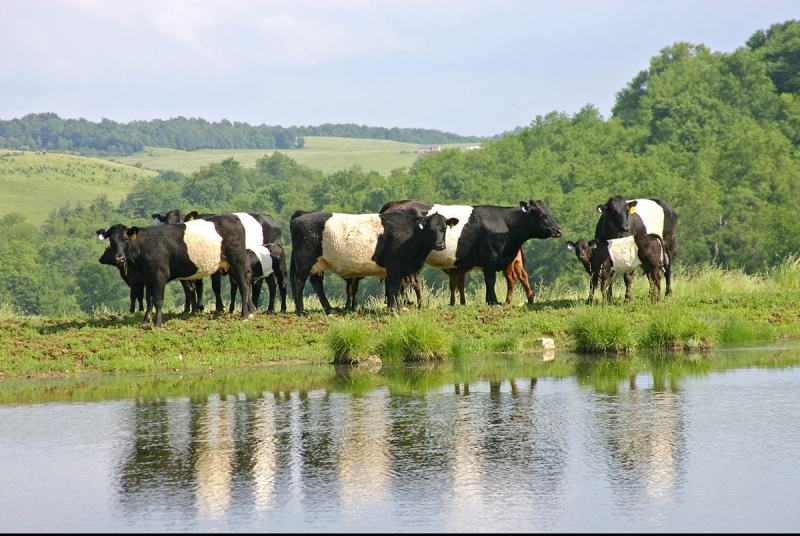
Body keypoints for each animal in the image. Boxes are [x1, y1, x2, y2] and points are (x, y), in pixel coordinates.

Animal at [95, 214, 255, 326]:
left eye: (126, 240)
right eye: (111, 241)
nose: (119, 258)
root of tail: (233, 217)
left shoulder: (159, 274)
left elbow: (158, 300)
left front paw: (157, 323)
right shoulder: (148, 278)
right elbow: (149, 300)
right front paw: (146, 321)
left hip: (238, 261)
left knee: (244, 286)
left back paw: (244, 315)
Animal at [290, 209, 460, 314]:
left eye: (444, 228)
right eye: (430, 229)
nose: (440, 245)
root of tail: (303, 214)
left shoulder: (400, 270)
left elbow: (397, 289)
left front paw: (398, 307)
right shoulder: (394, 268)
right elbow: (393, 289)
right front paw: (393, 309)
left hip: (319, 263)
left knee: (317, 283)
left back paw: (329, 309)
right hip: (304, 261)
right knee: (299, 282)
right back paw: (301, 311)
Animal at [372, 198, 560, 306]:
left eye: (549, 212)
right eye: (540, 215)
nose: (558, 230)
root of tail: (394, 204)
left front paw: (489, 300)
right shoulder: (489, 259)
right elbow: (490, 281)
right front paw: (493, 301)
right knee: (399, 282)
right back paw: (403, 303)